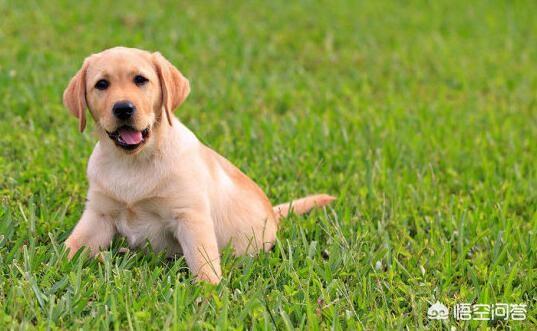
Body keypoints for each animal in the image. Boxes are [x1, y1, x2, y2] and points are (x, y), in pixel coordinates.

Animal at [62, 47, 336, 286]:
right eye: (101, 84)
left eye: (140, 80)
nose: (123, 108)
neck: (132, 162)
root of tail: (273, 212)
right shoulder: (98, 215)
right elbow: (69, 248)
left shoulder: (190, 216)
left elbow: (203, 262)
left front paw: (208, 294)